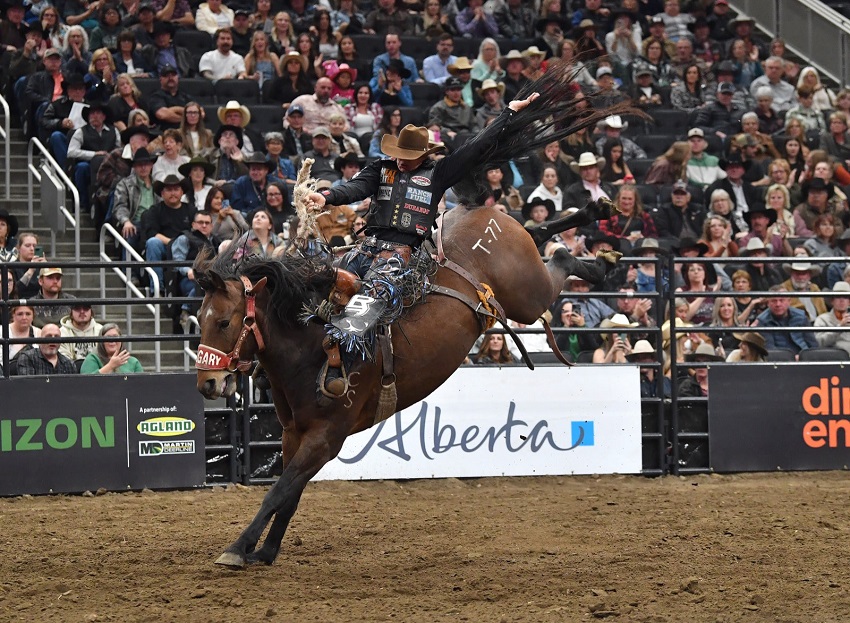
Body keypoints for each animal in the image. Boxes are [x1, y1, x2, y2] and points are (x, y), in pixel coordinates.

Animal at [195, 199, 612, 564]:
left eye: (225, 321)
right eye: (199, 318)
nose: (207, 384)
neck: (312, 343)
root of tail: (478, 209)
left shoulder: (326, 438)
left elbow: (278, 492)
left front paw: (239, 548)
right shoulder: (292, 433)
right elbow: (288, 495)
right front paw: (265, 551)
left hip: (527, 295)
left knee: (555, 260)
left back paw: (597, 255)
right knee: (537, 231)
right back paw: (596, 233)